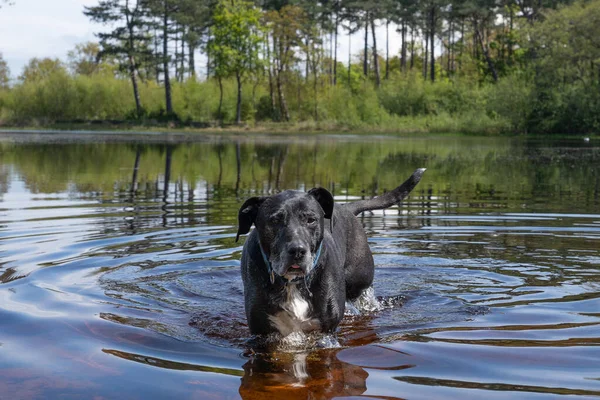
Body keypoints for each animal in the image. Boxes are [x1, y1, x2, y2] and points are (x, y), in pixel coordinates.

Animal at [236, 167, 426, 336]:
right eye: (275, 220)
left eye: (311, 220)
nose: (297, 251)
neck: (293, 283)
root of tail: (347, 207)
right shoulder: (263, 331)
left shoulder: (327, 328)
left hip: (359, 282)